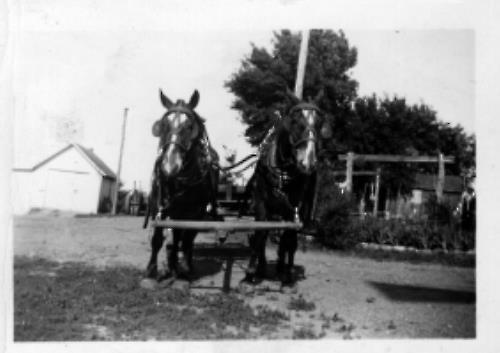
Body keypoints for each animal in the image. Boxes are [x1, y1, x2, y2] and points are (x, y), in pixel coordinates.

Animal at [144, 88, 220, 280]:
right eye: (163, 125)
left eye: (190, 127)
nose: (169, 166)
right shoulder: (158, 206)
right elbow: (158, 238)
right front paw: (151, 269)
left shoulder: (195, 213)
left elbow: (187, 239)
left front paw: (184, 267)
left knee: (185, 239)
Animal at [243, 93, 330, 286]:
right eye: (295, 121)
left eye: (320, 123)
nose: (308, 162)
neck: (282, 172)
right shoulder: (261, 204)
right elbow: (260, 234)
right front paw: (252, 273)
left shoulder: (294, 208)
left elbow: (288, 238)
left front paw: (287, 277)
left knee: (289, 241)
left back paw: (284, 269)